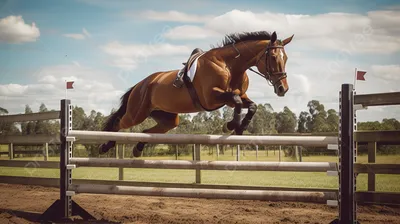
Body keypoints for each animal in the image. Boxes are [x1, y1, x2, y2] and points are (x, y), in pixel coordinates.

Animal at [99, 30, 296, 157]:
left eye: (286, 58)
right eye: (273, 58)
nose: (283, 89)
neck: (230, 65)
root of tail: (141, 83)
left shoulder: (234, 97)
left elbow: (251, 105)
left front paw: (239, 128)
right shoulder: (211, 98)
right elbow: (237, 101)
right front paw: (230, 126)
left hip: (167, 117)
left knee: (147, 131)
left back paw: (137, 149)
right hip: (136, 113)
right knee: (119, 123)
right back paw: (105, 145)